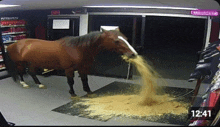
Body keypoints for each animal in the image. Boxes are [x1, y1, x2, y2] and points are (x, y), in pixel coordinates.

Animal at [4, 28, 138, 96]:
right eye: (116, 41)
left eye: (125, 38)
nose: (133, 54)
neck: (77, 48)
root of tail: (12, 45)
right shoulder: (69, 69)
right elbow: (70, 81)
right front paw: (72, 93)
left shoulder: (83, 67)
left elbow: (85, 79)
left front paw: (88, 91)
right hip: (20, 63)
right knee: (21, 72)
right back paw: (24, 83)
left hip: (33, 62)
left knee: (32, 72)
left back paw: (39, 84)